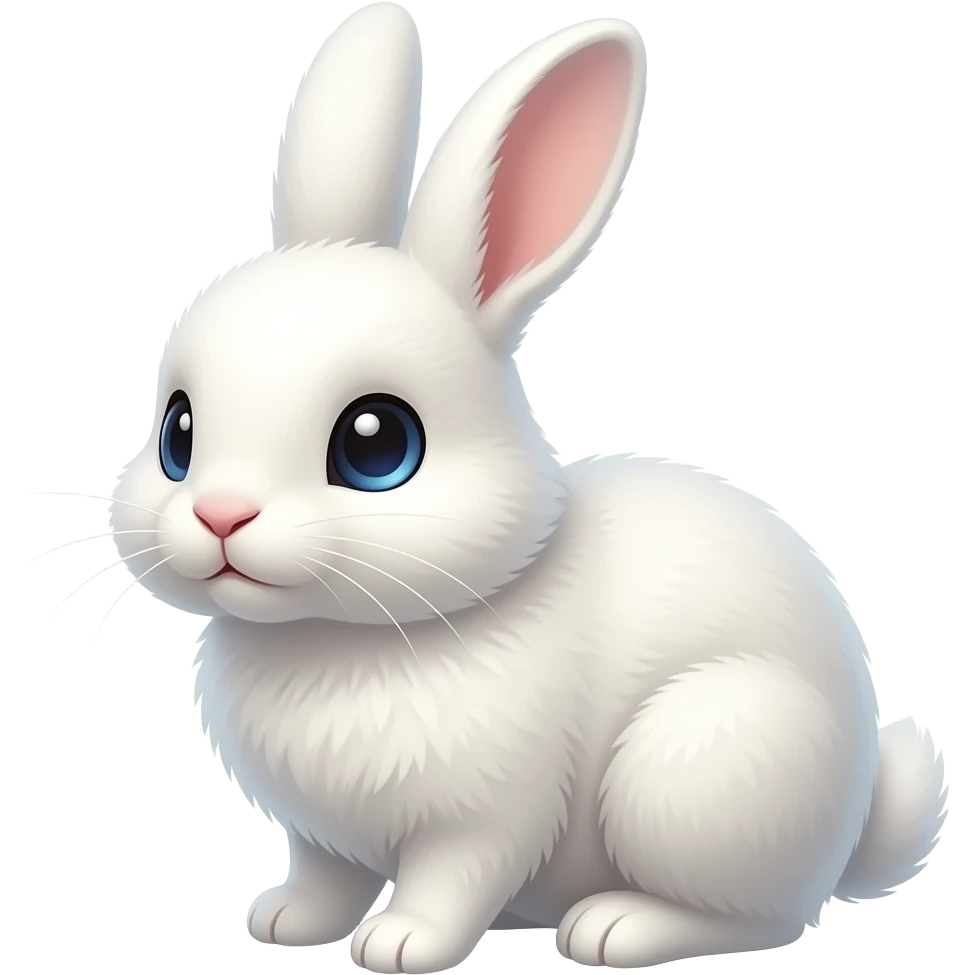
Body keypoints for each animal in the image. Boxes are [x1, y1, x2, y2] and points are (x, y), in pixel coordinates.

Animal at [103, 4, 947, 972]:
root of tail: (852, 821)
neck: (343, 638)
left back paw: (613, 926)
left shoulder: (487, 816)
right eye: (178, 433)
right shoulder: (323, 838)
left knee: (761, 917)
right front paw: (284, 922)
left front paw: (400, 944)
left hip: (696, 770)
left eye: (376, 444)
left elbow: (449, 878)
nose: (220, 514)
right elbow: (327, 877)